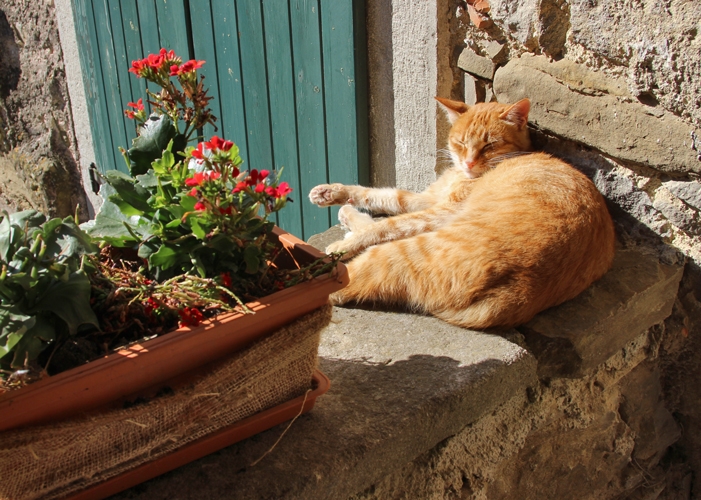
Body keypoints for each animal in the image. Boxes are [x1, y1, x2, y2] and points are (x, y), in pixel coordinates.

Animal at [308, 97, 612, 328]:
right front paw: (332, 195)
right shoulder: (427, 199)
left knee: (342, 286)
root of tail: (517, 294)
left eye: (490, 145)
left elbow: (387, 224)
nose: (468, 163)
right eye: (461, 143)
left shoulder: (441, 211)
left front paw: (345, 241)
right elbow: (384, 196)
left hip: (398, 253)